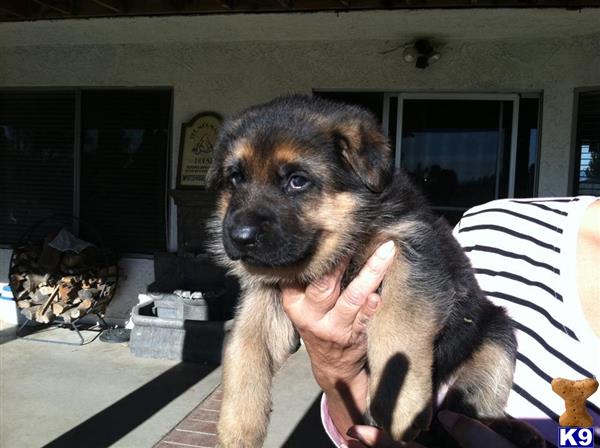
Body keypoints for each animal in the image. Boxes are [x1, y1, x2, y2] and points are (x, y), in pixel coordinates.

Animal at [207, 95, 520, 448]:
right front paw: (236, 428)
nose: (240, 237)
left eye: (297, 180)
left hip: (496, 337)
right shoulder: (265, 295)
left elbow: (395, 326)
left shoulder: (410, 254)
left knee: (478, 403)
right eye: (235, 178)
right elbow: (243, 347)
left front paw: (399, 406)